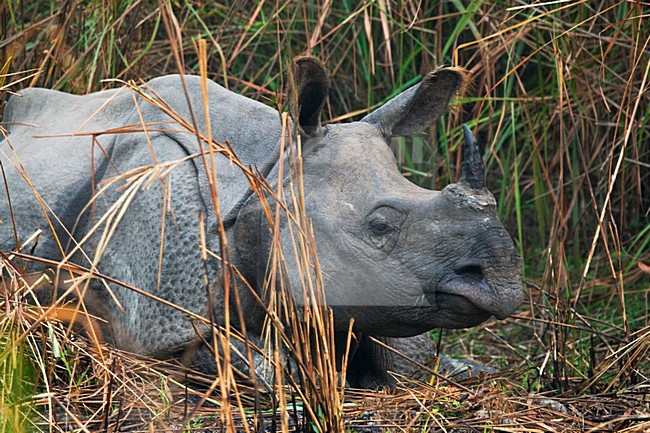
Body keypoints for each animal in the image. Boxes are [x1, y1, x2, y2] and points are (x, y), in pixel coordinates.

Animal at [0, 57, 523, 387]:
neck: (267, 177)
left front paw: (460, 368)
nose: (503, 278)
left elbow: (405, 361)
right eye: (380, 227)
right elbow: (268, 366)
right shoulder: (154, 321)